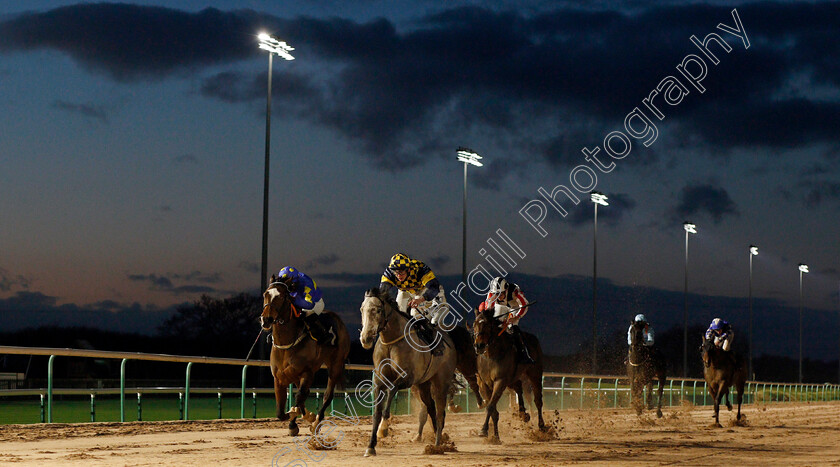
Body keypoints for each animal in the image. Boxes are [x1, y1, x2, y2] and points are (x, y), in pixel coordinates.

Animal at [358, 288, 456, 458]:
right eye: (362, 309)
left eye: (378, 310)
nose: (365, 338)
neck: (391, 343)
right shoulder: (379, 381)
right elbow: (376, 412)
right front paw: (370, 446)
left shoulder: (407, 377)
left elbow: (391, 393)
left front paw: (383, 429)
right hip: (423, 385)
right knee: (430, 407)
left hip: (440, 383)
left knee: (439, 412)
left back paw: (437, 445)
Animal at [470, 308, 548, 440]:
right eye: (474, 325)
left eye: (487, 324)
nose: (478, 345)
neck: (491, 355)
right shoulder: (484, 383)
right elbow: (493, 410)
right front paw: (495, 437)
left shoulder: (500, 381)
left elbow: (490, 406)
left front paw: (484, 430)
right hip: (513, 379)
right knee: (519, 389)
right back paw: (523, 414)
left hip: (535, 374)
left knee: (538, 400)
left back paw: (541, 427)